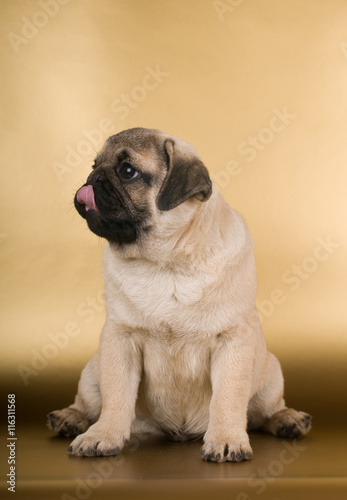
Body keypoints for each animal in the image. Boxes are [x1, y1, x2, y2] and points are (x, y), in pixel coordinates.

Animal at [48, 127, 312, 462]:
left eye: (127, 171)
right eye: (94, 165)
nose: (92, 179)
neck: (166, 263)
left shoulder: (233, 341)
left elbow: (228, 398)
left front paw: (226, 438)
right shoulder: (119, 339)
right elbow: (116, 395)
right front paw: (103, 435)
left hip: (270, 377)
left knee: (262, 413)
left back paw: (288, 419)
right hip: (93, 373)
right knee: (88, 403)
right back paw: (69, 418)